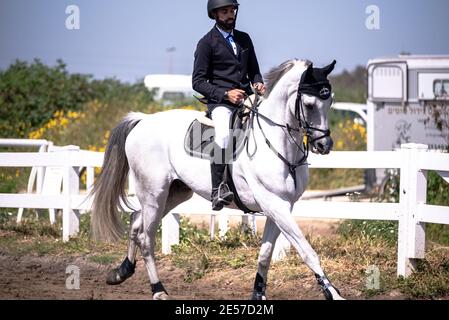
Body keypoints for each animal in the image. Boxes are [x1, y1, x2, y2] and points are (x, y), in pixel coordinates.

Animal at [90, 58, 344, 300]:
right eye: (309, 105)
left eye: (330, 101)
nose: (324, 145)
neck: (276, 143)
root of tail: (143, 120)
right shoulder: (274, 204)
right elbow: (307, 252)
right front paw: (333, 294)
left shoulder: (281, 207)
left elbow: (265, 255)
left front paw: (258, 294)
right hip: (154, 193)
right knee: (146, 236)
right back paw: (158, 290)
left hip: (174, 194)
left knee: (135, 221)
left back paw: (122, 272)